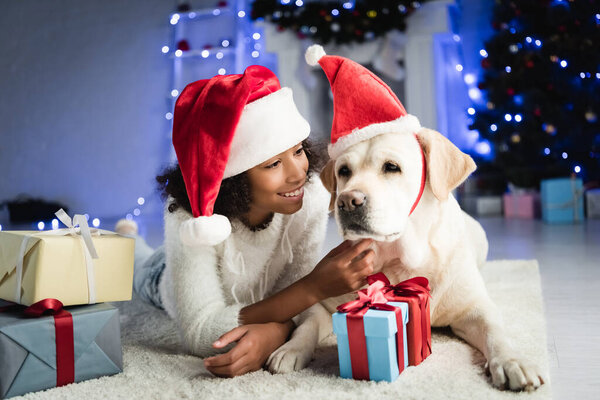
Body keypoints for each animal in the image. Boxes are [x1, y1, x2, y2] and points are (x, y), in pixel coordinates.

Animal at [268, 127, 548, 390]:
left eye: (392, 167)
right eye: (344, 171)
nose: (347, 201)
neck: (399, 259)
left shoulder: (474, 307)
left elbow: (495, 332)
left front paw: (513, 361)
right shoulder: (325, 301)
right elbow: (307, 325)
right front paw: (289, 349)